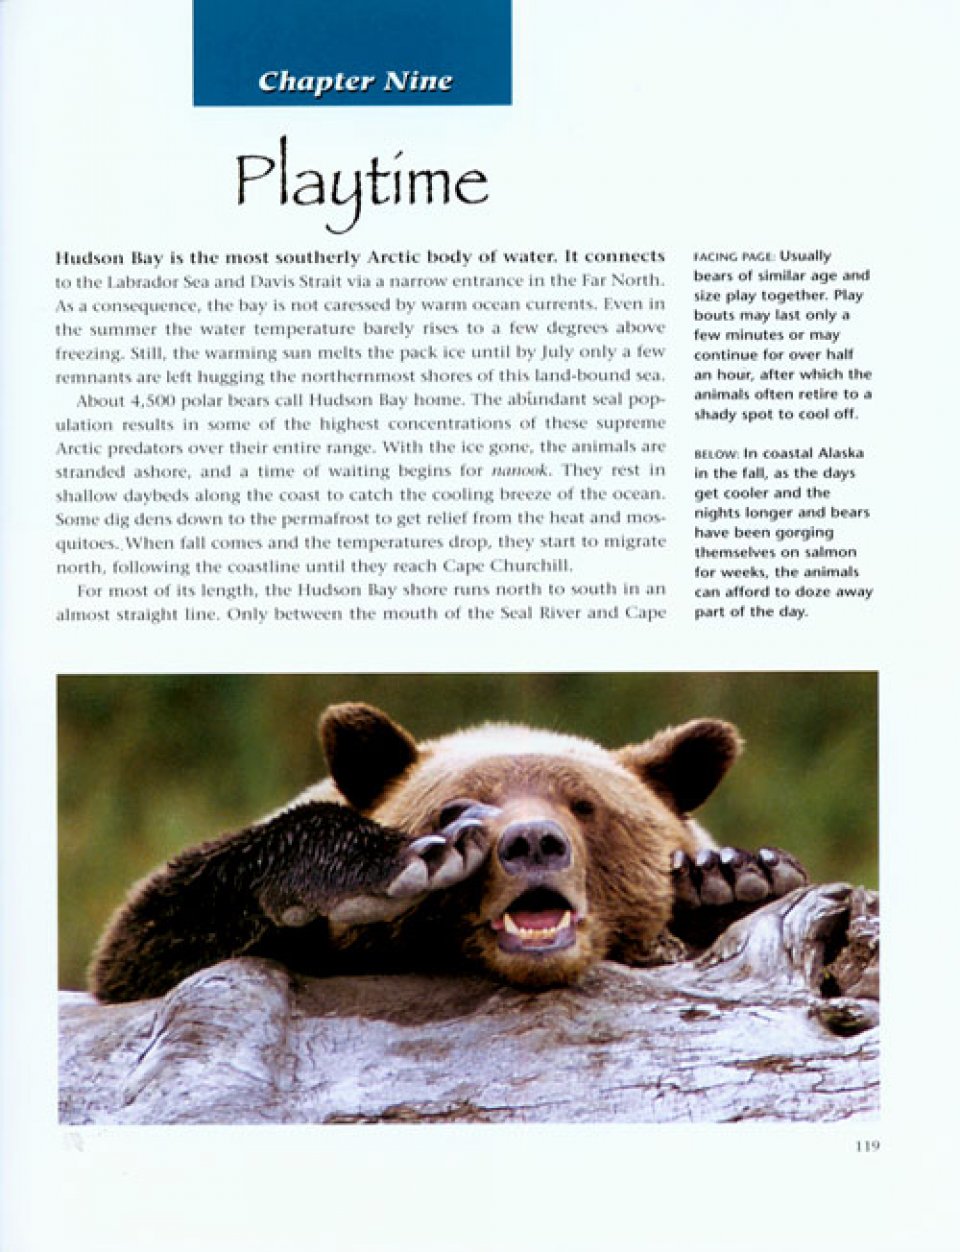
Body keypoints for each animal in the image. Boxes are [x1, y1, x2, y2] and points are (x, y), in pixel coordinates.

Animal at [89, 702, 807, 1003]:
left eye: (584, 805)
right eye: (455, 807)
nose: (533, 842)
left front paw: (732, 877)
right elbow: (144, 944)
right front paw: (407, 862)